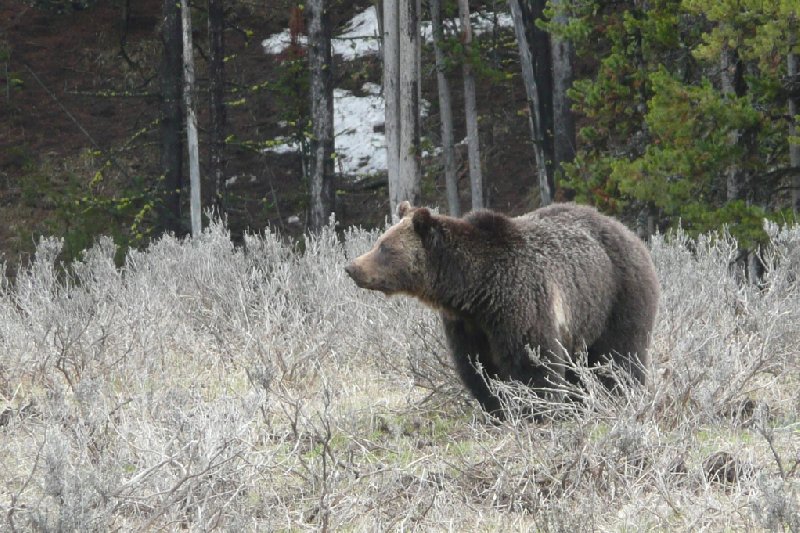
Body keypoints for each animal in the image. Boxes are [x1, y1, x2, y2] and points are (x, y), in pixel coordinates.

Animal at [346, 202, 664, 418]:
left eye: (385, 247)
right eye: (379, 242)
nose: (352, 267)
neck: (476, 289)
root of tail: (629, 232)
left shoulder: (520, 303)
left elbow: (534, 363)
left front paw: (537, 410)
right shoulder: (468, 326)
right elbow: (478, 368)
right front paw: (496, 408)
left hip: (616, 295)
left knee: (620, 355)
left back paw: (620, 394)